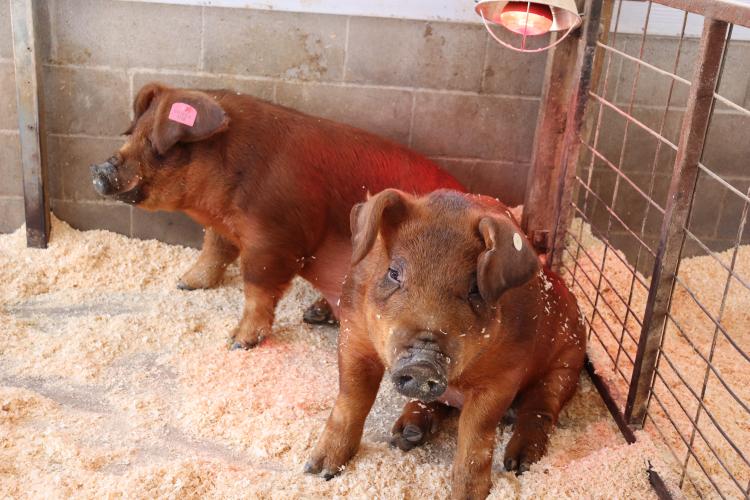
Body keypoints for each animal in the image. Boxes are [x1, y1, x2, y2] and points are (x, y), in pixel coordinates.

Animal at [90, 83, 464, 348]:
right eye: (133, 133)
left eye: (157, 146)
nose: (99, 170)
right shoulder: (225, 227)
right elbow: (214, 250)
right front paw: (184, 283)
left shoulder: (275, 238)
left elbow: (257, 286)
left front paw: (237, 343)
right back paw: (314, 314)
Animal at [305, 189, 586, 499]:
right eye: (393, 273)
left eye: (474, 289)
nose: (422, 364)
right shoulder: (354, 335)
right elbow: (351, 398)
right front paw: (318, 470)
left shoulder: (505, 374)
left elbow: (477, 435)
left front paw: (468, 495)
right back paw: (405, 434)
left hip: (566, 366)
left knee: (540, 409)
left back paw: (519, 462)